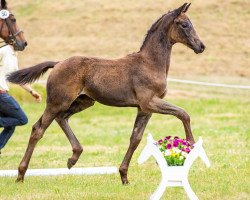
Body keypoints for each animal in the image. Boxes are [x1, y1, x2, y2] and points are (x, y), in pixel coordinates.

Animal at [7, 3, 205, 184]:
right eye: (184, 25)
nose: (201, 46)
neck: (150, 63)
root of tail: (58, 63)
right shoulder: (149, 102)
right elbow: (183, 113)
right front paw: (191, 145)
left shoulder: (144, 109)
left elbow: (135, 138)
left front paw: (124, 176)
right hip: (58, 102)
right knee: (38, 129)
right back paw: (20, 174)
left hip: (83, 101)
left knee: (61, 118)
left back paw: (73, 158)